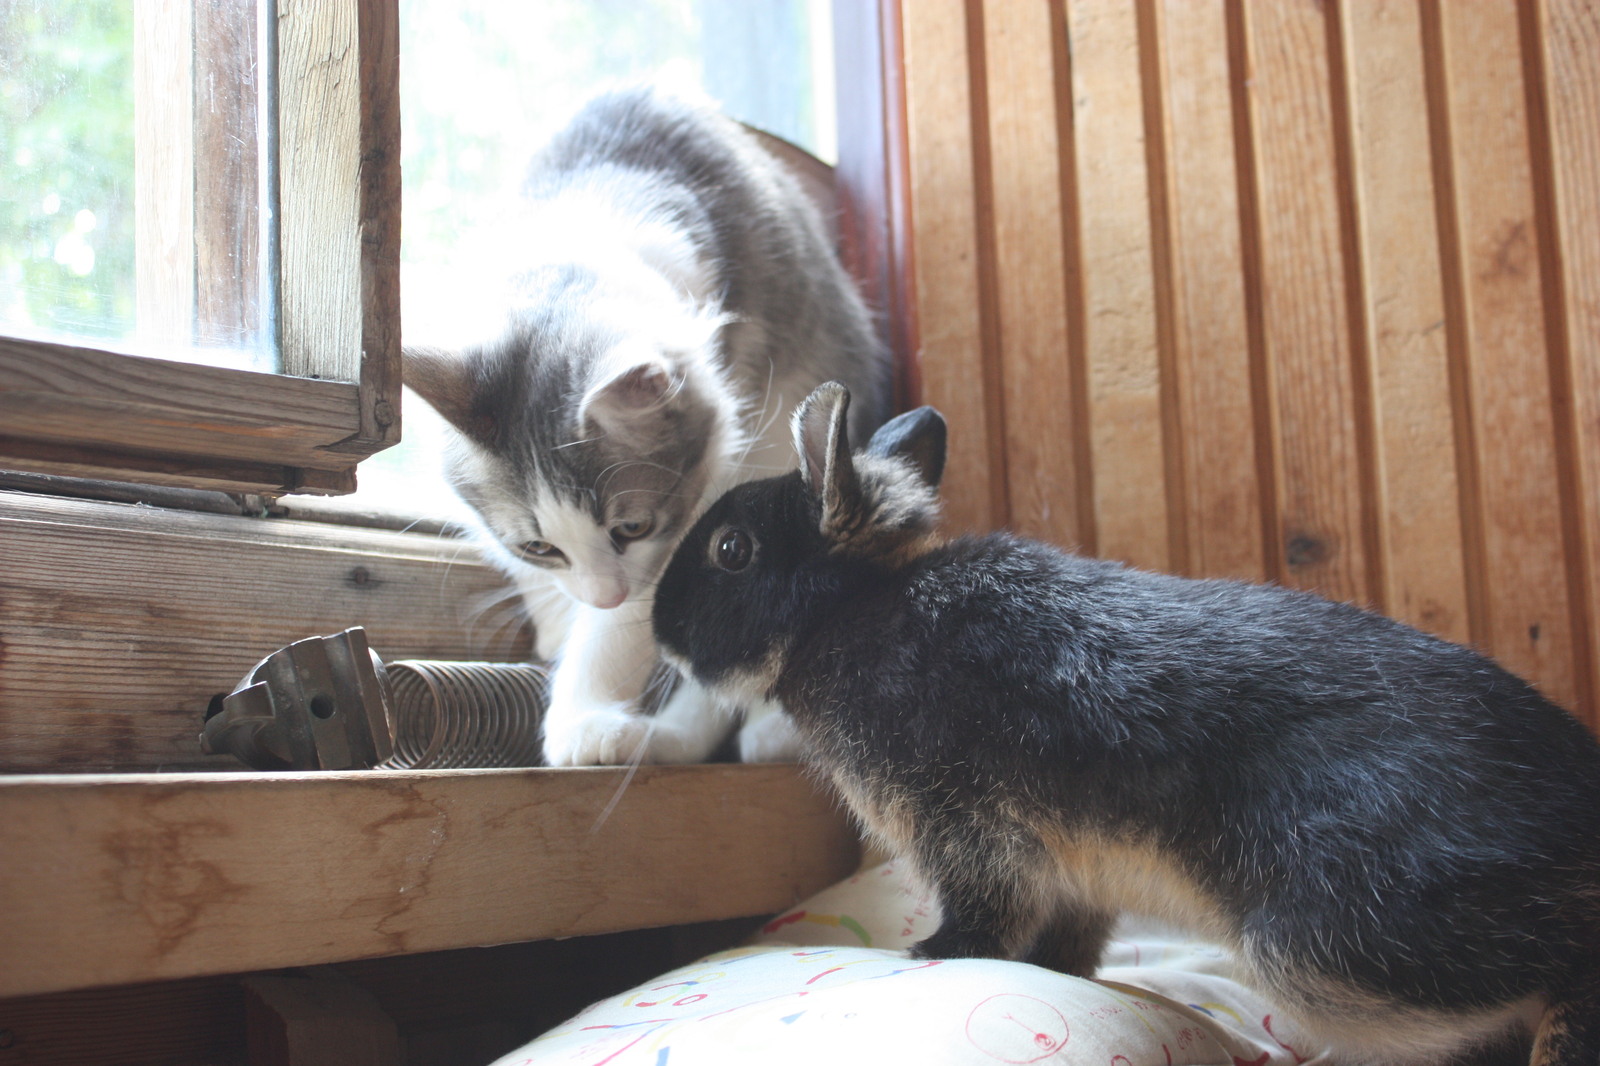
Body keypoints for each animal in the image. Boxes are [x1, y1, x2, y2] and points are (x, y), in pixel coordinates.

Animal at [406, 85, 896, 765]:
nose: (601, 594)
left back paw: (764, 733)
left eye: (631, 527)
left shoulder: (693, 510)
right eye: (539, 545)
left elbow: (625, 626)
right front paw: (560, 626)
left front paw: (581, 721)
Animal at [649, 382, 1600, 1062]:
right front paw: (1041, 967)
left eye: (731, 551)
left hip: (1326, 945)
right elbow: (1065, 947)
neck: (843, 613)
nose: (658, 626)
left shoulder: (966, 826)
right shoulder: (1071, 877)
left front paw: (928, 955)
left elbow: (986, 916)